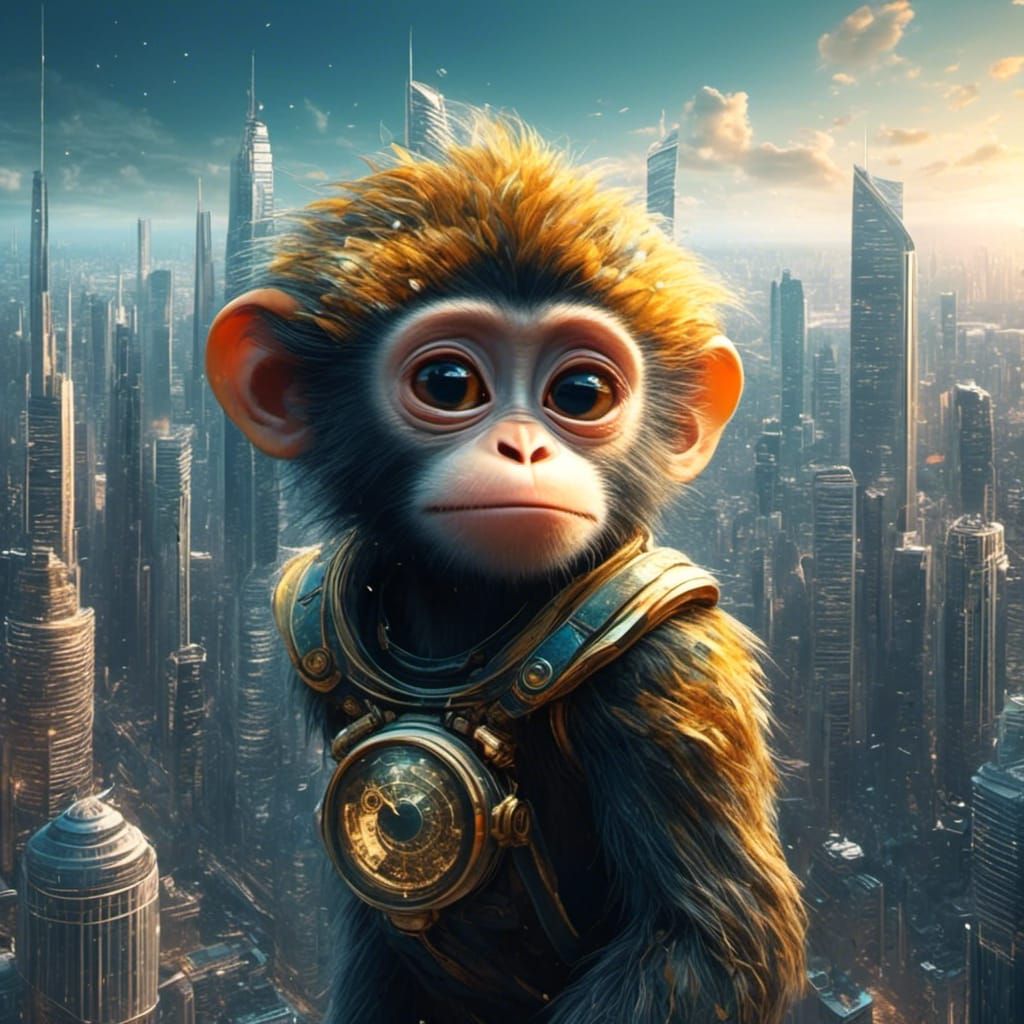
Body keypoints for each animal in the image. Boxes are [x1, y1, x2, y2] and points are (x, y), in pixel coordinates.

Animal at [205, 114, 807, 1024]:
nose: (523, 449)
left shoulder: (665, 664)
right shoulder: (306, 625)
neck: (466, 618)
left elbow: (712, 942)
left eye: (582, 392)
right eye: (449, 382)